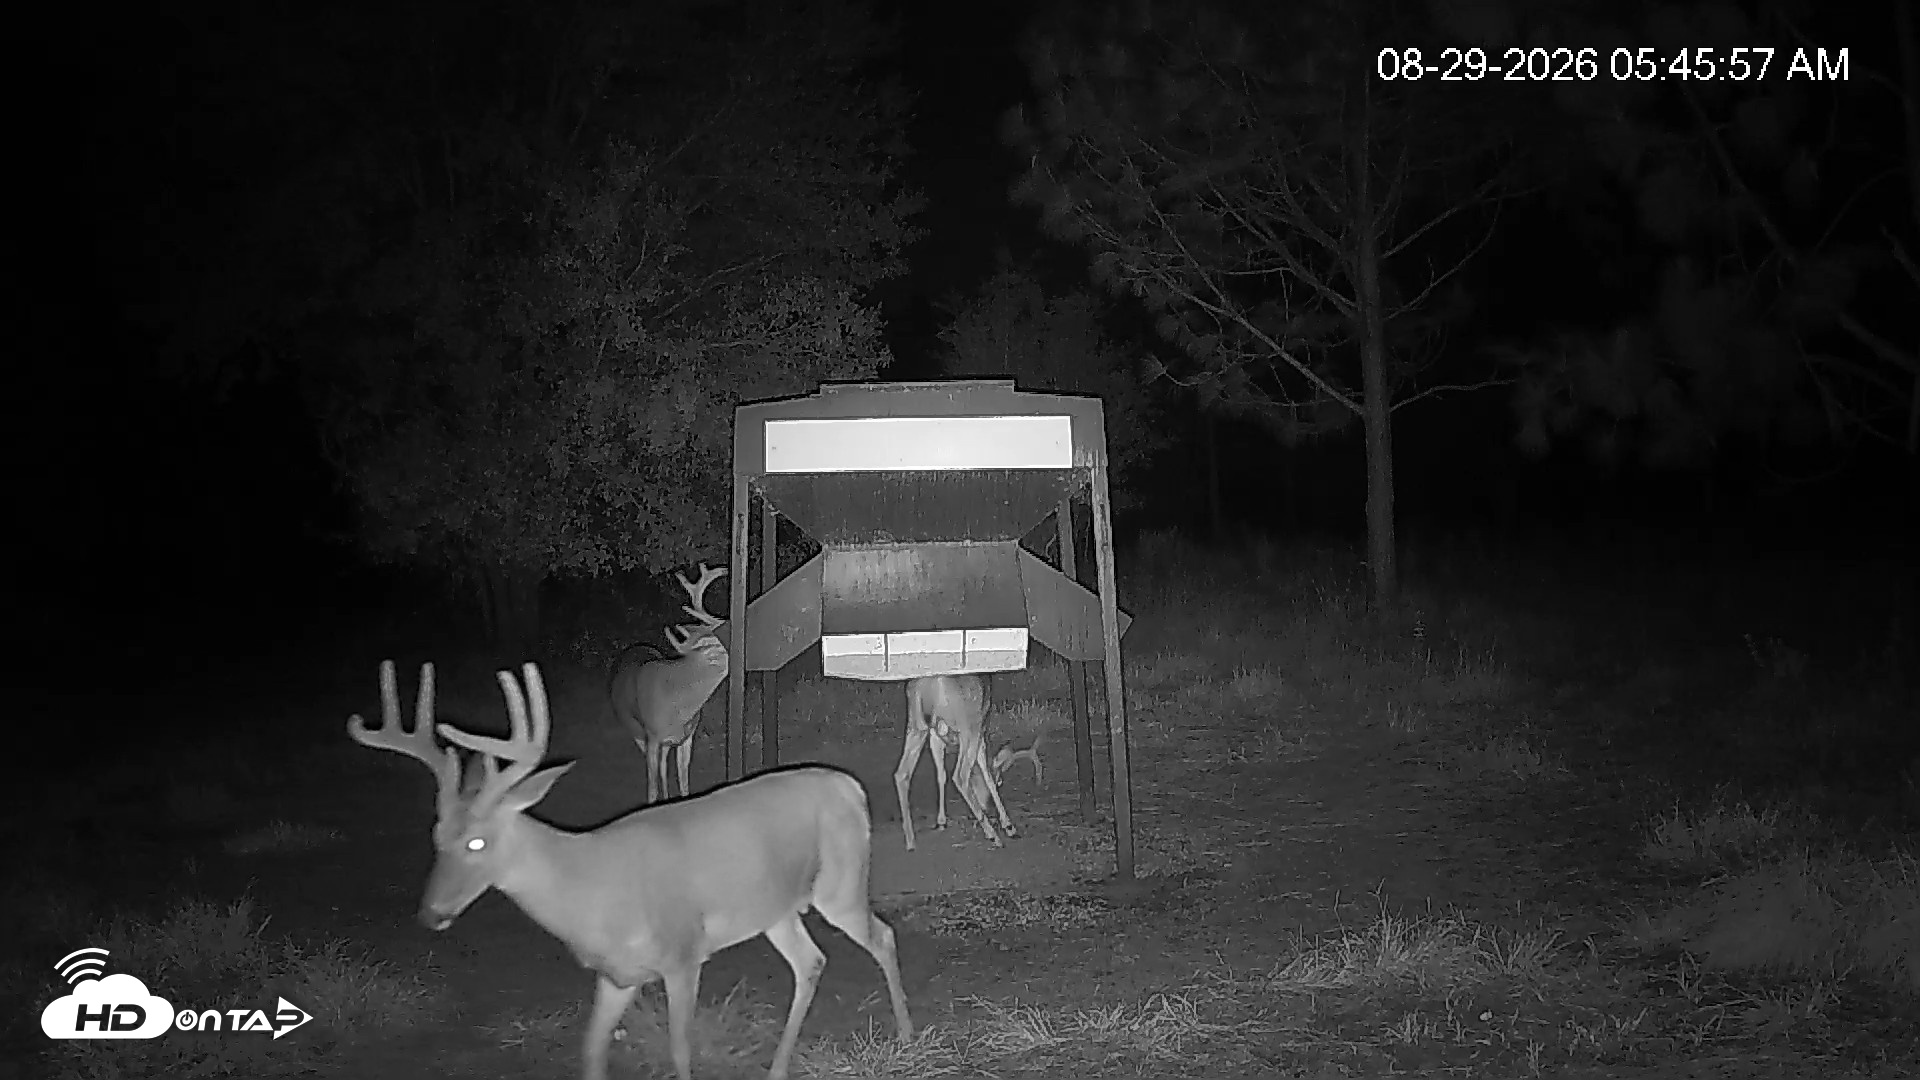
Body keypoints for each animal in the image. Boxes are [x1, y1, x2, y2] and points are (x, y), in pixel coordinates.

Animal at [347, 659, 913, 1080]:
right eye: (436, 835)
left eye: (478, 841)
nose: (431, 913)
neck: (592, 889)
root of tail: (851, 788)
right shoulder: (615, 975)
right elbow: (591, 1053)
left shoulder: (683, 953)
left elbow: (680, 1050)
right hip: (774, 907)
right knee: (810, 961)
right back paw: (777, 1068)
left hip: (839, 882)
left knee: (881, 936)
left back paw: (906, 1033)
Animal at [608, 563, 729, 804]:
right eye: (723, 646)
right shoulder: (652, 736)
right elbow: (651, 788)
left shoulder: (687, 736)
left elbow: (683, 782)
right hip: (634, 728)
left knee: (664, 766)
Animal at [892, 673, 1018, 851]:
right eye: (1000, 780)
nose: (986, 806)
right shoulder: (981, 732)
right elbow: (987, 775)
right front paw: (1008, 825)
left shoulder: (936, 736)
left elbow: (941, 775)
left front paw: (941, 821)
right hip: (969, 727)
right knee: (960, 776)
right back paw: (992, 835)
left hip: (917, 725)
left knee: (901, 774)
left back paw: (910, 841)